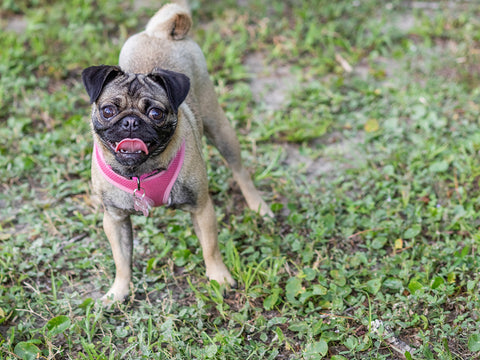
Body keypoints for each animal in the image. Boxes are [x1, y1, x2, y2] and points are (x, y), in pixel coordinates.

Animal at [80, 2, 272, 304]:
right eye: (108, 110)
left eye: (156, 113)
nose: (131, 122)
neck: (140, 172)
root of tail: (161, 33)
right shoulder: (114, 219)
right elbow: (121, 259)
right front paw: (118, 292)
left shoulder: (202, 208)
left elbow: (210, 247)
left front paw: (219, 278)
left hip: (220, 128)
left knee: (239, 170)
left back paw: (258, 206)